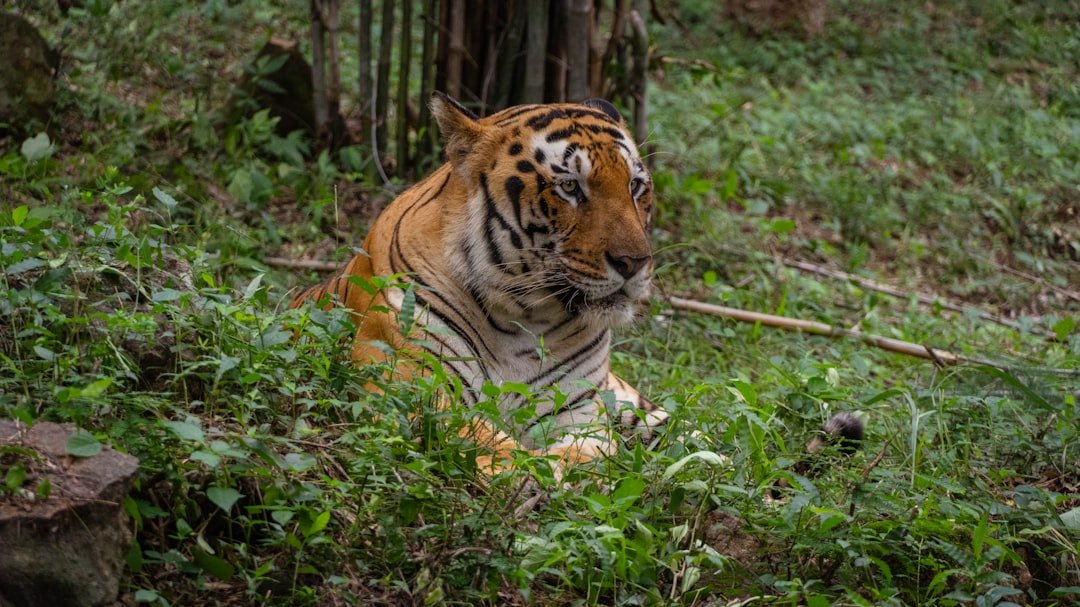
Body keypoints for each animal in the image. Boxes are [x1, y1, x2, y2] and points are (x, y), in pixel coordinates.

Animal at [291, 93, 666, 474]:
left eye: (635, 185)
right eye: (570, 186)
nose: (634, 263)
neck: (524, 317)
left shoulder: (581, 410)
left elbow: (593, 450)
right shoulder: (410, 385)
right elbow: (483, 438)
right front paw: (537, 471)